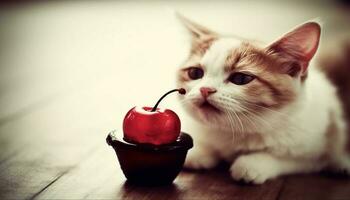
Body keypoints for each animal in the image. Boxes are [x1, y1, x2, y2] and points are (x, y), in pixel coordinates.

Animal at [176, 15, 348, 184]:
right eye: (195, 73)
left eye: (241, 78)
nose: (205, 89)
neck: (235, 131)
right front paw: (200, 151)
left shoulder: (319, 146)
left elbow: (293, 160)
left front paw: (253, 164)